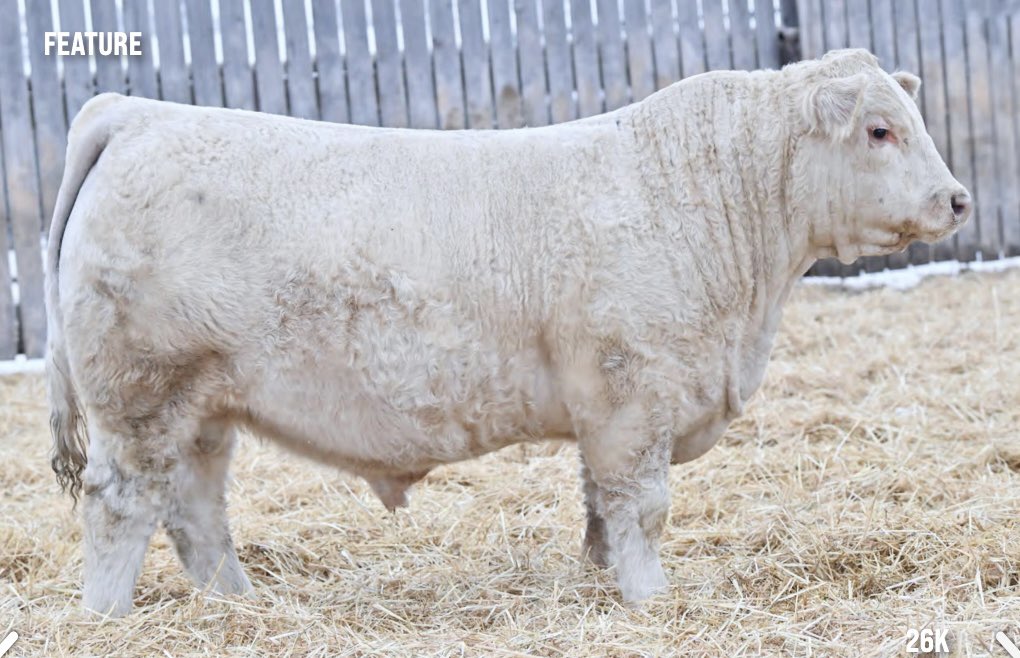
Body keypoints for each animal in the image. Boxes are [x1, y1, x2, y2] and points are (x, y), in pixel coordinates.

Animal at [46, 49, 970, 616]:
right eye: (879, 129)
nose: (957, 199)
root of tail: (134, 112)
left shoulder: (605, 411)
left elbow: (600, 507)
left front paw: (604, 581)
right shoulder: (634, 399)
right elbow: (642, 507)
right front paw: (651, 598)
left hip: (203, 407)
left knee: (196, 510)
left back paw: (237, 603)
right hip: (140, 395)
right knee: (119, 504)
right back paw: (108, 616)